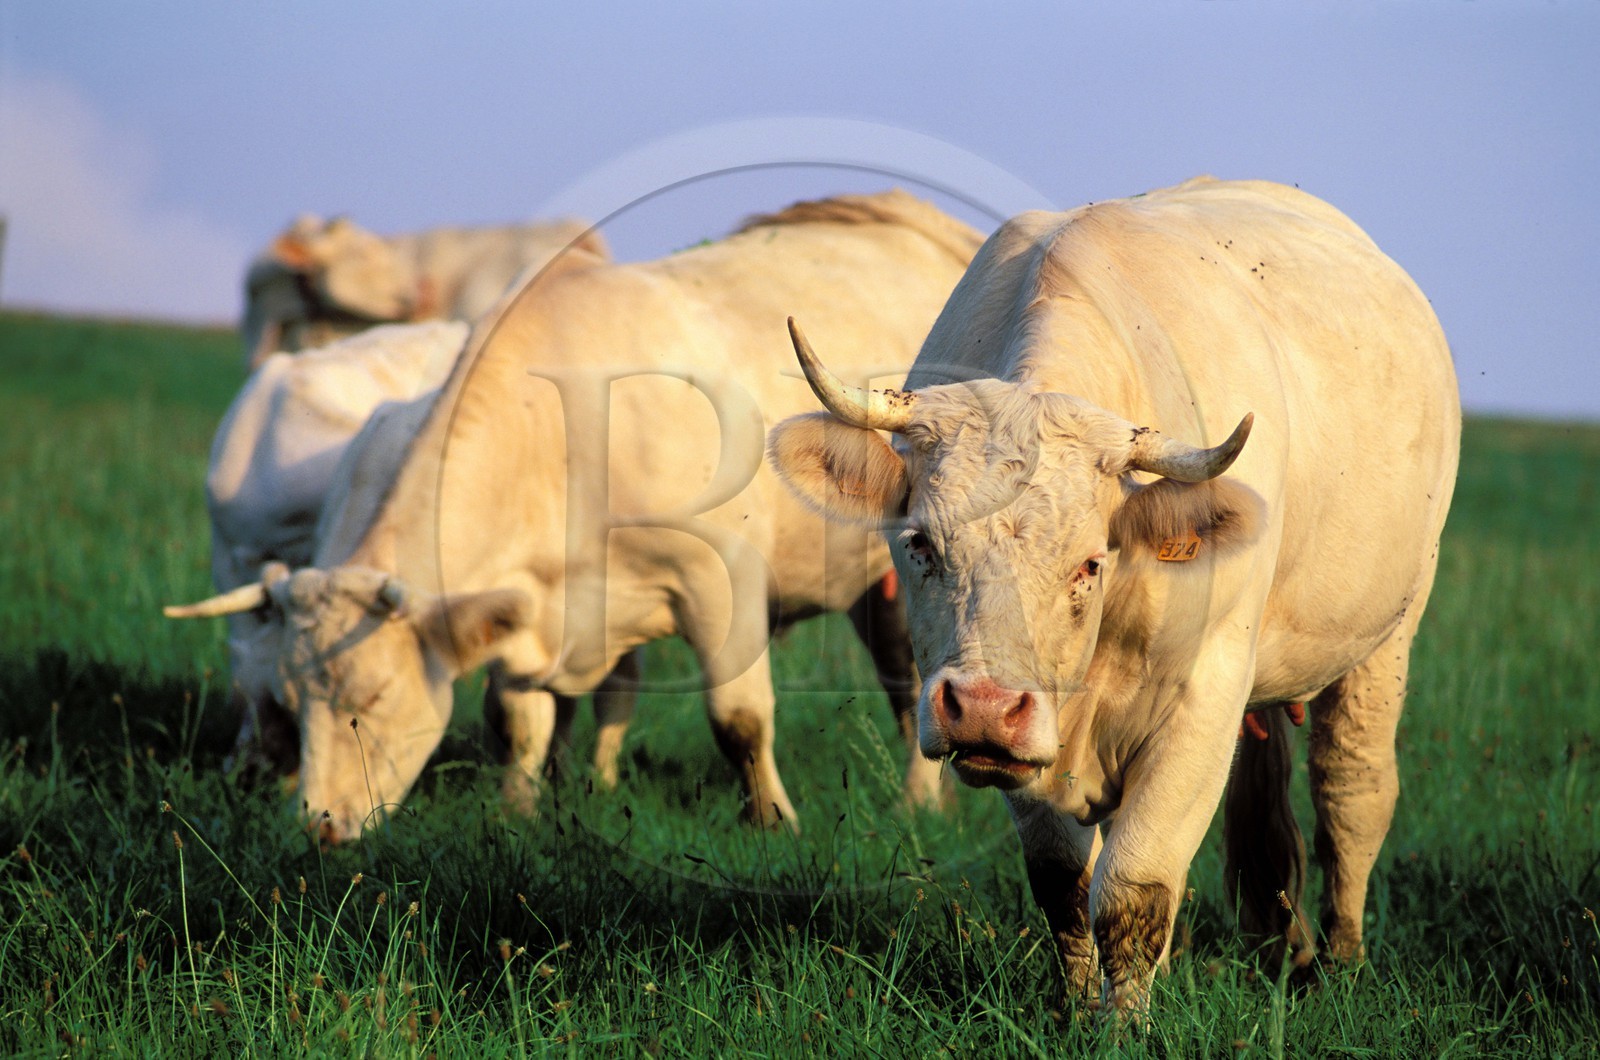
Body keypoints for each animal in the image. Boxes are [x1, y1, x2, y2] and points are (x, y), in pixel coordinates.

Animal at [767, 177, 1460, 1016]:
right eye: (921, 542)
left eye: (1089, 564)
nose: (984, 708)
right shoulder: (1032, 744)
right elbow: (1062, 881)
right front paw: (1075, 1007)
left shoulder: (1202, 699)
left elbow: (1135, 886)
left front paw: (1126, 1024)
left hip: (1388, 634)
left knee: (1351, 791)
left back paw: (1341, 963)